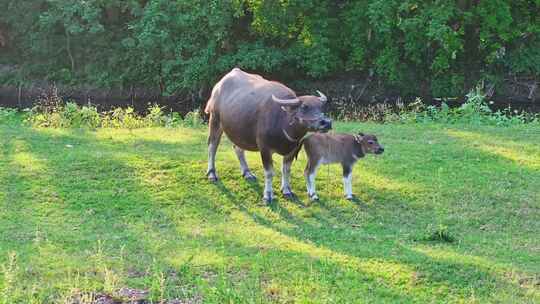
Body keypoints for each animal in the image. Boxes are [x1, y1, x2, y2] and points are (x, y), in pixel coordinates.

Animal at [205, 67, 332, 203]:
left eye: (321, 107)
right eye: (304, 106)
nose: (326, 122)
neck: (283, 122)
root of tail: (218, 86)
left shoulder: (293, 150)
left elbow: (286, 169)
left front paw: (286, 190)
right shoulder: (264, 149)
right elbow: (269, 172)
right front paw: (268, 195)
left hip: (239, 131)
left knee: (238, 148)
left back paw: (247, 172)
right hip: (215, 120)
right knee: (212, 146)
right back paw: (212, 173)